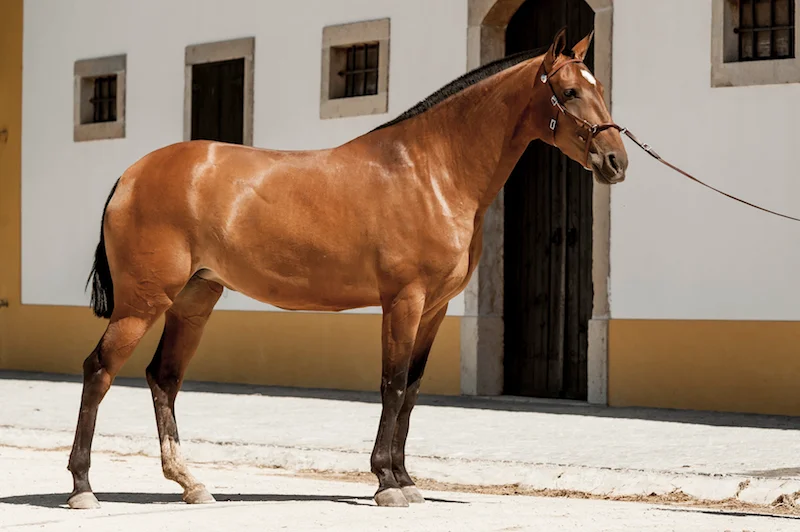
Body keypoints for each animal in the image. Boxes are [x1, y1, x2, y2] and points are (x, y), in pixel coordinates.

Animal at [66, 27, 628, 510]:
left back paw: (190, 483)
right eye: (571, 92)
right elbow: (392, 383)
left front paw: (405, 478)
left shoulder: (435, 309)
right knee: (99, 371)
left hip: (194, 301)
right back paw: (83, 487)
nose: (616, 161)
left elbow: (412, 390)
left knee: (164, 378)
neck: (432, 170)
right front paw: (386, 482)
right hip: (142, 304)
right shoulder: (404, 300)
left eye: (599, 88)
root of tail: (131, 174)